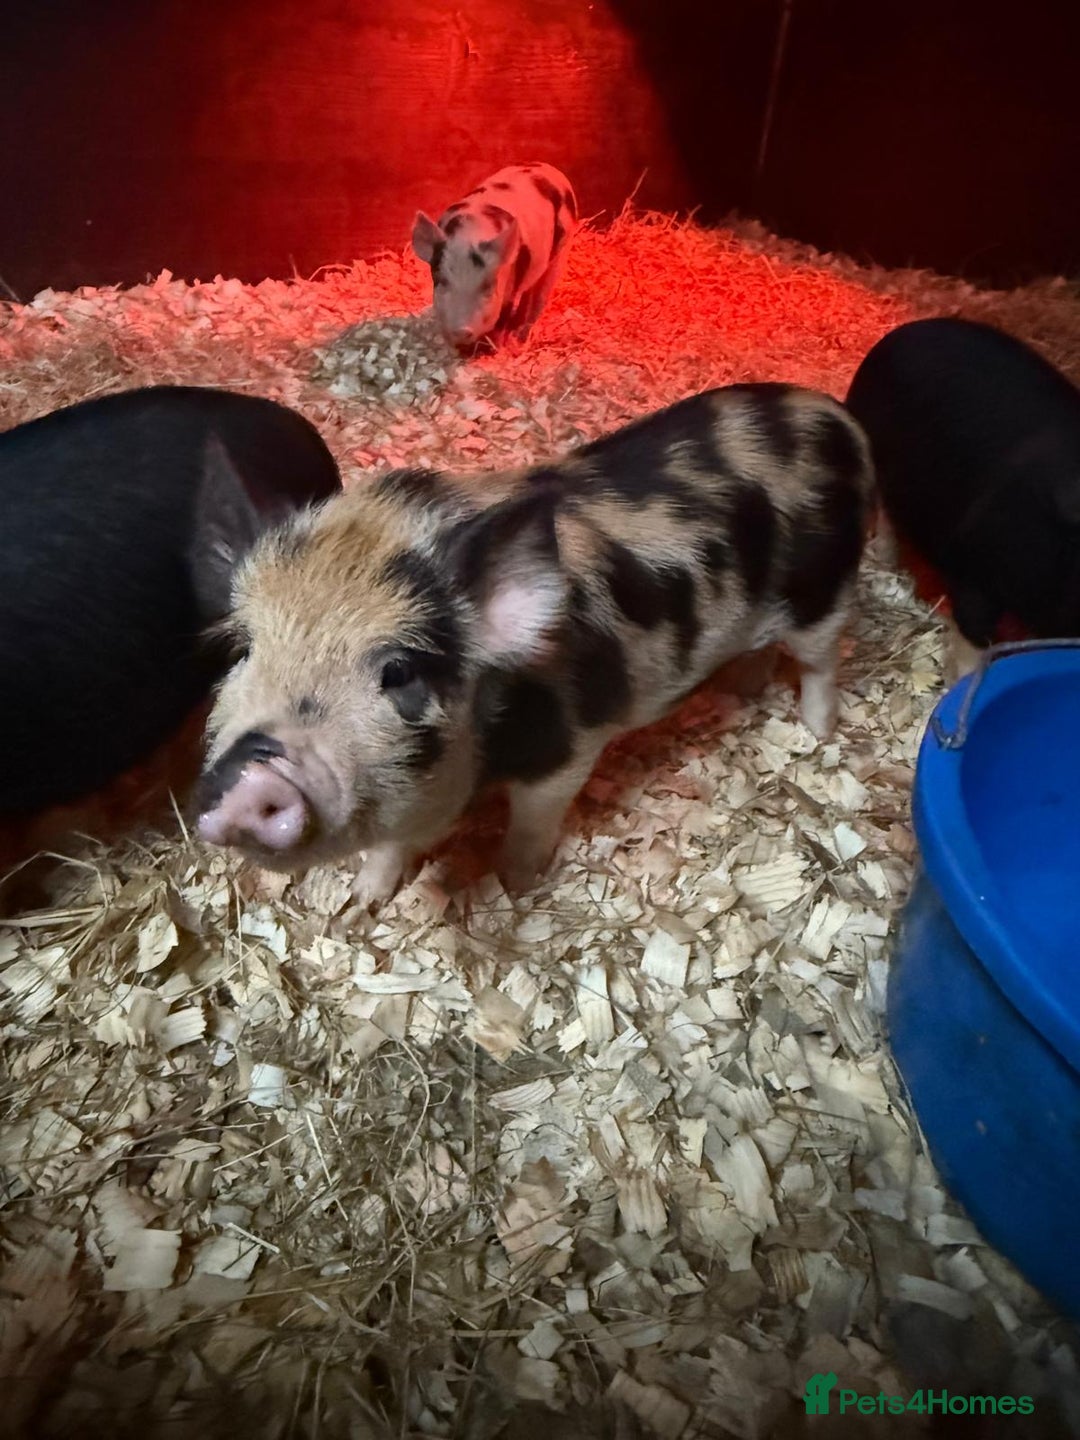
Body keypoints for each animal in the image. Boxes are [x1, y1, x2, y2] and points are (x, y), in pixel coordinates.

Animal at [195, 383, 872, 904]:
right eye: (244, 648)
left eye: (399, 670)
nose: (253, 769)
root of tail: (834, 415)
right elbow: (390, 847)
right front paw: (360, 904)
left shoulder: (567, 748)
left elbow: (532, 820)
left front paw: (515, 883)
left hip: (826, 589)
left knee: (820, 661)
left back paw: (817, 732)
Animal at [411, 163, 578, 349]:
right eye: (441, 281)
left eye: (488, 287)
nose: (462, 331)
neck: (469, 234)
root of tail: (550, 168)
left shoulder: (509, 289)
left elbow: (501, 322)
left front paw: (494, 347)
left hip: (562, 249)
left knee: (540, 297)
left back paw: (519, 338)